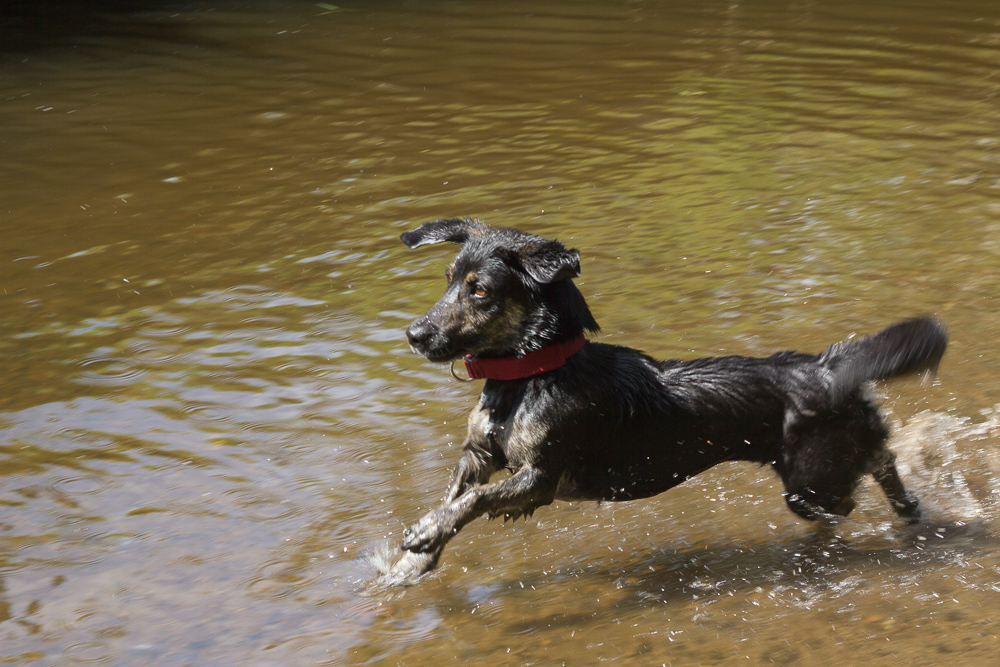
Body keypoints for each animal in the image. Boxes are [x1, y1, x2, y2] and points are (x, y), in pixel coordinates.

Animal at [382, 218, 944, 584]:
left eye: (479, 291)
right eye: (448, 282)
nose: (414, 335)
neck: (534, 373)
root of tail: (830, 366)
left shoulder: (540, 478)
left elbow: (472, 501)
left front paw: (424, 534)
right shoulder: (479, 454)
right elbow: (455, 496)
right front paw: (413, 561)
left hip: (811, 483)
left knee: (847, 500)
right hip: (835, 460)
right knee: (883, 460)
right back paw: (909, 506)